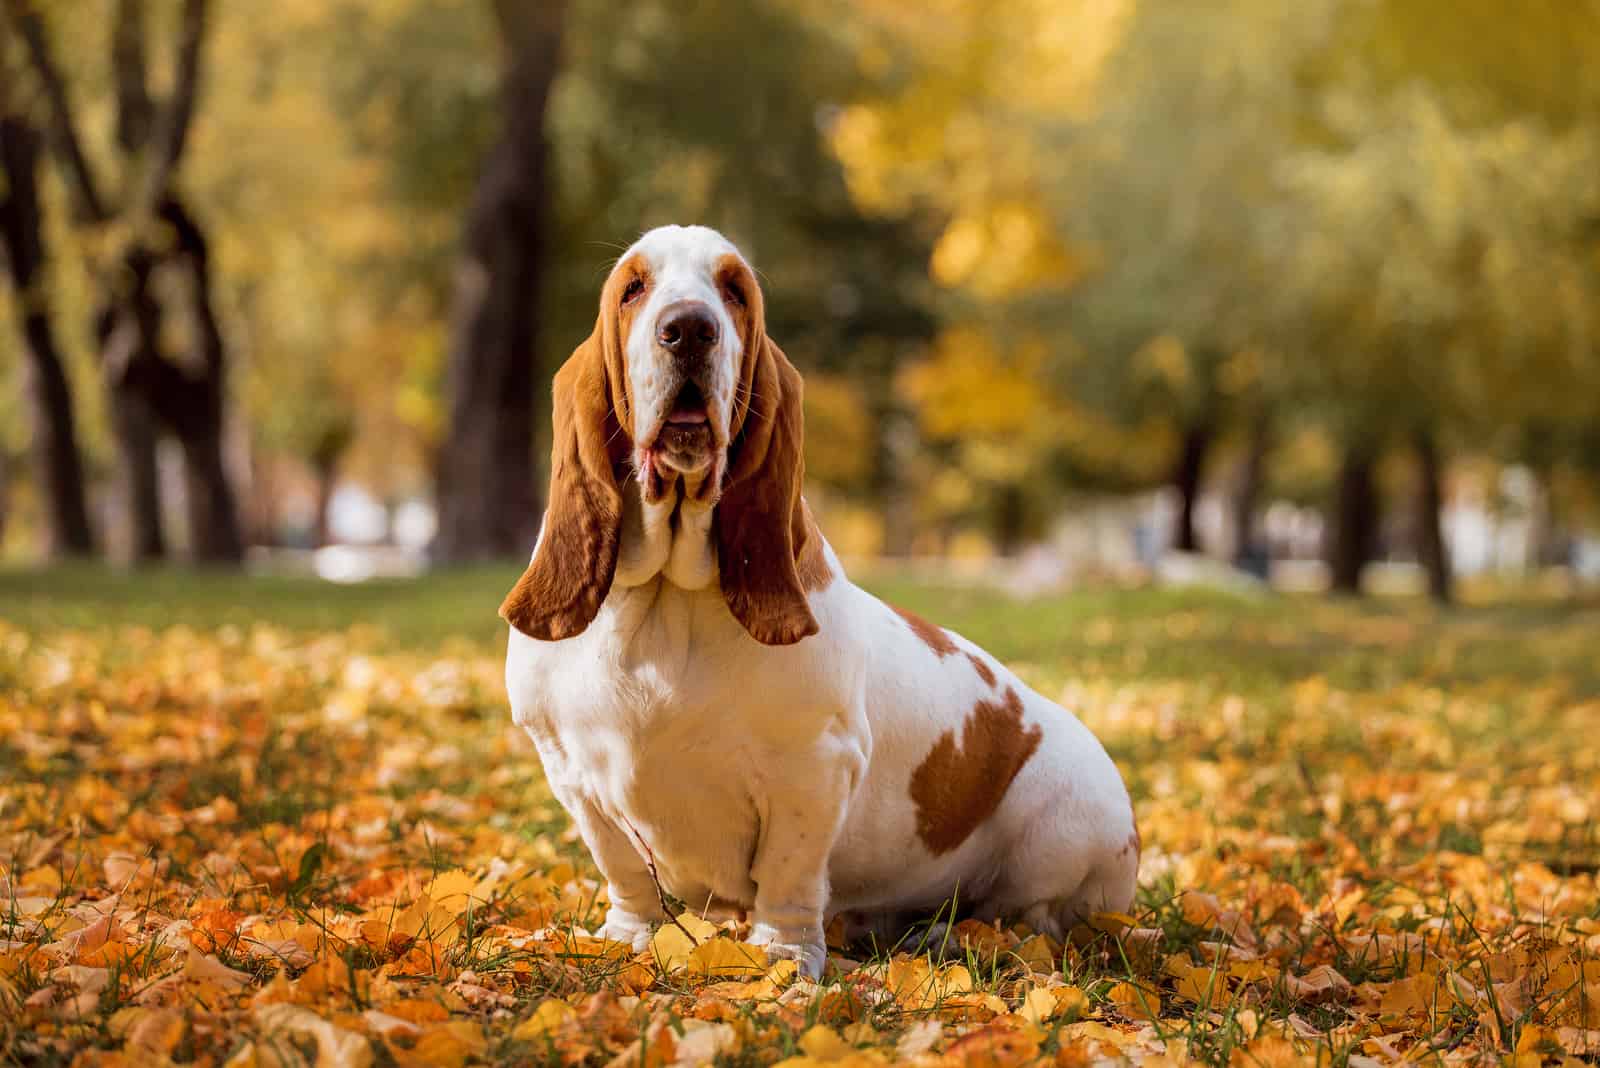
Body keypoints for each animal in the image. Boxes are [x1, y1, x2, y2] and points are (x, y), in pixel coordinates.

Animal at [499, 223, 1139, 978]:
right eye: (633, 289)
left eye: (734, 291)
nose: (689, 329)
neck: (667, 596)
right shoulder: (572, 775)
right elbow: (625, 871)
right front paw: (625, 939)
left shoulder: (811, 769)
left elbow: (788, 874)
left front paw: (783, 959)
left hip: (1068, 829)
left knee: (1030, 920)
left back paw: (941, 937)